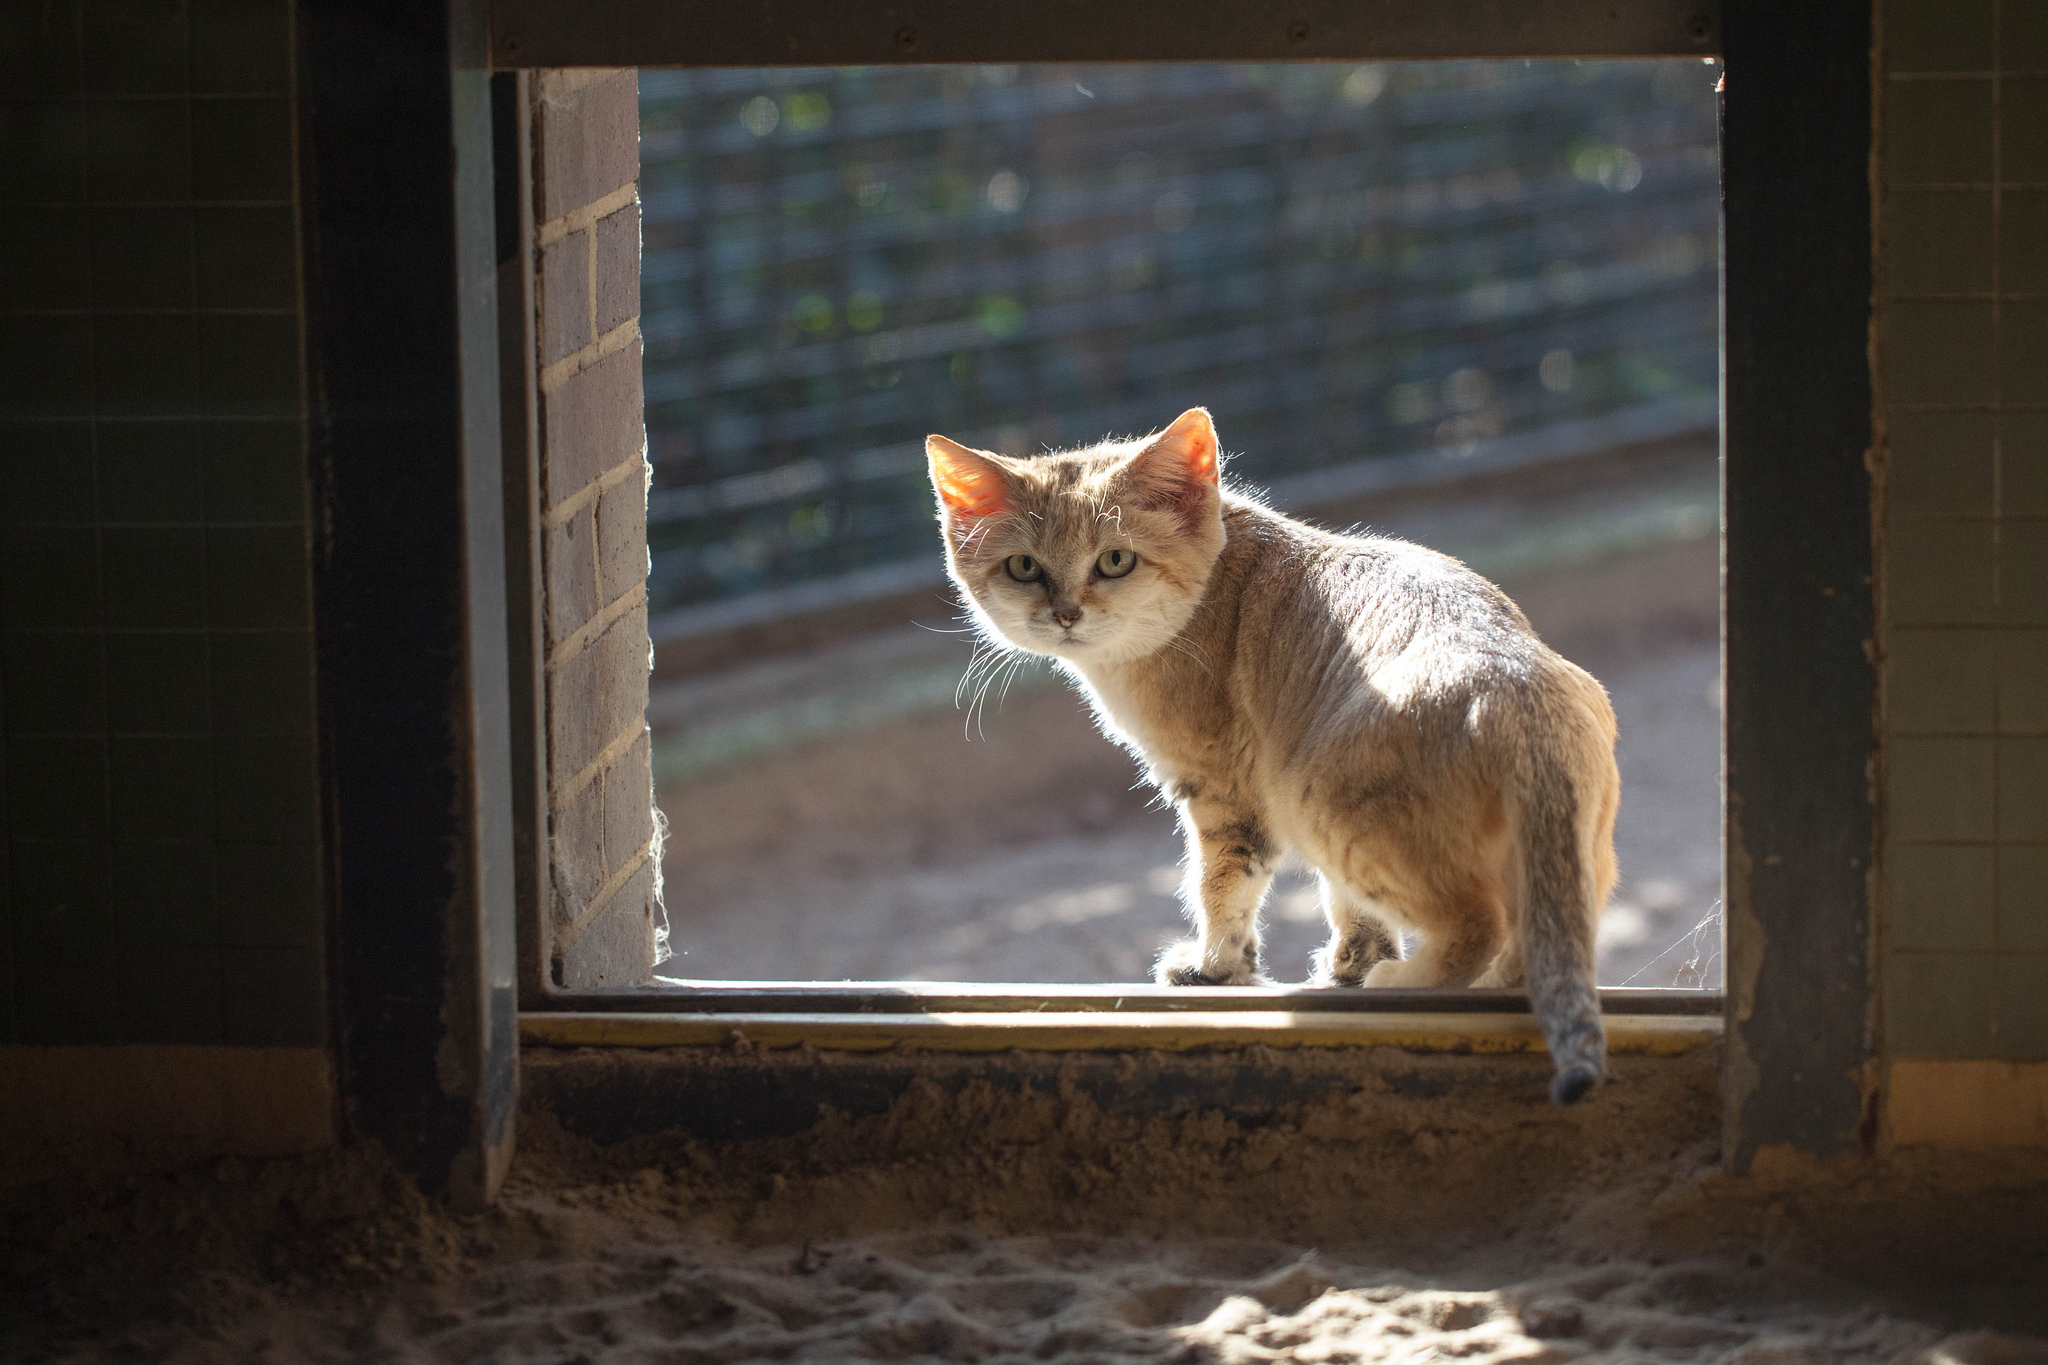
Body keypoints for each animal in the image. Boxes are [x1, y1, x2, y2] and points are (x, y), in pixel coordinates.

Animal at [929, 411, 1613, 1105]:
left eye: (1115, 560)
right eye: (1023, 567)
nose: (1065, 614)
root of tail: (1515, 686)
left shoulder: (1224, 792)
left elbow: (1219, 886)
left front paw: (1214, 969)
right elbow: (1352, 917)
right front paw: (1343, 969)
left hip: (1324, 810)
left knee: (1477, 924)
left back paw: (1404, 982)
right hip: (1561, 858)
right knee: (1532, 946)